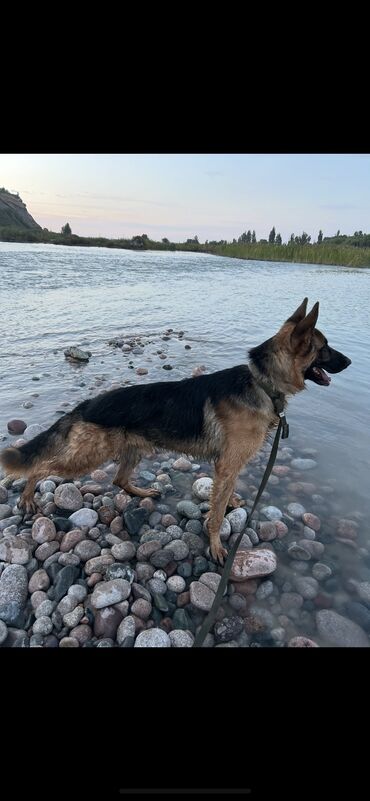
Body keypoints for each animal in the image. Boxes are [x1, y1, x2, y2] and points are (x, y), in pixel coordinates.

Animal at [0, 298, 352, 564]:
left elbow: (225, 496)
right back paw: (28, 495)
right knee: (41, 467)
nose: (349, 362)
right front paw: (215, 545)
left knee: (119, 480)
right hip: (87, 457)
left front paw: (232, 502)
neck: (262, 381)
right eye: (324, 348)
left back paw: (142, 493)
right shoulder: (227, 465)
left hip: (131, 451)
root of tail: (87, 404)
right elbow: (216, 513)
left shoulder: (229, 466)